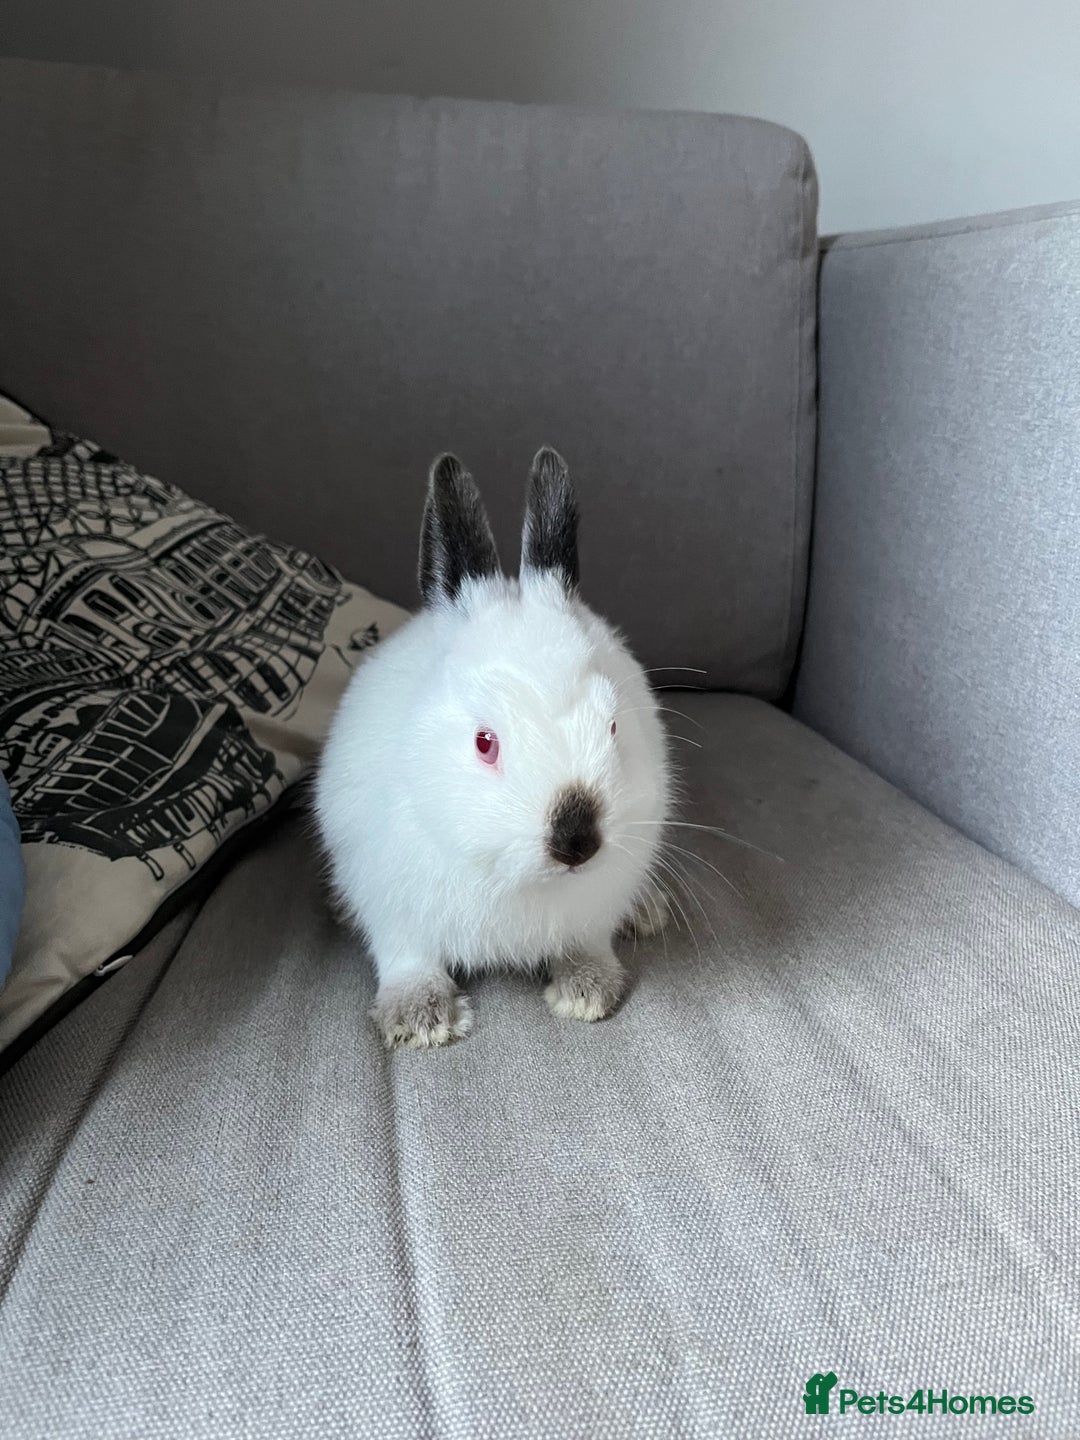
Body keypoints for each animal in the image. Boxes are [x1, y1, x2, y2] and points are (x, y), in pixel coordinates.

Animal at [314, 447, 670, 1048]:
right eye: (485, 743)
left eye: (613, 727)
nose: (577, 841)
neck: (516, 878)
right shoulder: (394, 904)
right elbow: (406, 957)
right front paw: (421, 1020)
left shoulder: (598, 901)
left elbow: (589, 940)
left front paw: (587, 990)